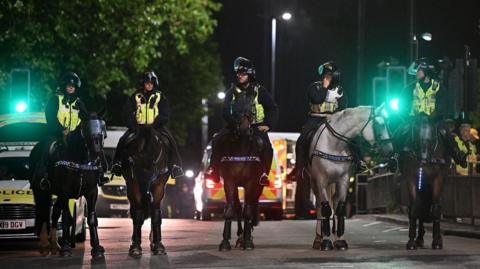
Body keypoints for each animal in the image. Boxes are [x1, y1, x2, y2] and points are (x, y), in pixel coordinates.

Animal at [119, 125, 169, 258]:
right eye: (135, 171)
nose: (146, 194)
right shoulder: (133, 185)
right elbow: (138, 214)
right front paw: (135, 246)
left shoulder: (158, 186)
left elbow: (155, 214)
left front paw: (158, 245)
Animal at [218, 91, 266, 249]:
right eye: (235, 107)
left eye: (252, 105)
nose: (244, 129)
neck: (241, 150)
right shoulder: (230, 182)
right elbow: (231, 209)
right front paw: (225, 242)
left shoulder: (251, 183)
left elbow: (248, 211)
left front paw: (248, 241)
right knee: (238, 207)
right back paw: (239, 236)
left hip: (258, 186)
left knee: (249, 206)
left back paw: (247, 236)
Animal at [308, 104, 394, 249]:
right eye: (379, 124)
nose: (390, 150)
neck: (335, 145)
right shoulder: (321, 180)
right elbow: (326, 209)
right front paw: (326, 241)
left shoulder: (343, 180)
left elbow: (340, 208)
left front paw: (340, 241)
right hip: (315, 183)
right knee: (320, 206)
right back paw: (319, 239)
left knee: (334, 203)